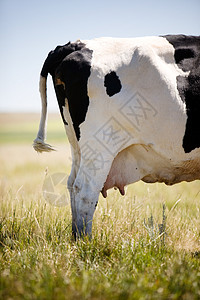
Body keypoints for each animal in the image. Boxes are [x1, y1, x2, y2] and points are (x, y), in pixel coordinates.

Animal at [33, 34, 200, 237]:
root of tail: (75, 44)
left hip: (78, 146)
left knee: (72, 185)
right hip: (100, 147)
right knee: (84, 190)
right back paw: (85, 241)